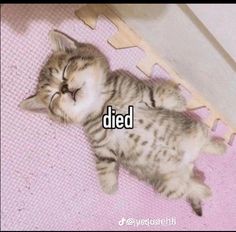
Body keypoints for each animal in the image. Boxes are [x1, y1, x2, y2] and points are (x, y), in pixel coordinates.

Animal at [20, 29, 227, 217]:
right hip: (169, 186)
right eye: (54, 97)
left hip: (197, 130)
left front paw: (178, 101)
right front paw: (109, 186)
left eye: (64, 72)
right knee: (189, 186)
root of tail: (189, 162)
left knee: (205, 143)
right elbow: (104, 163)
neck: (100, 105)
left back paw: (220, 147)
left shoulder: (137, 91)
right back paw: (204, 189)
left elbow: (155, 94)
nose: (64, 89)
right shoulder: (101, 145)